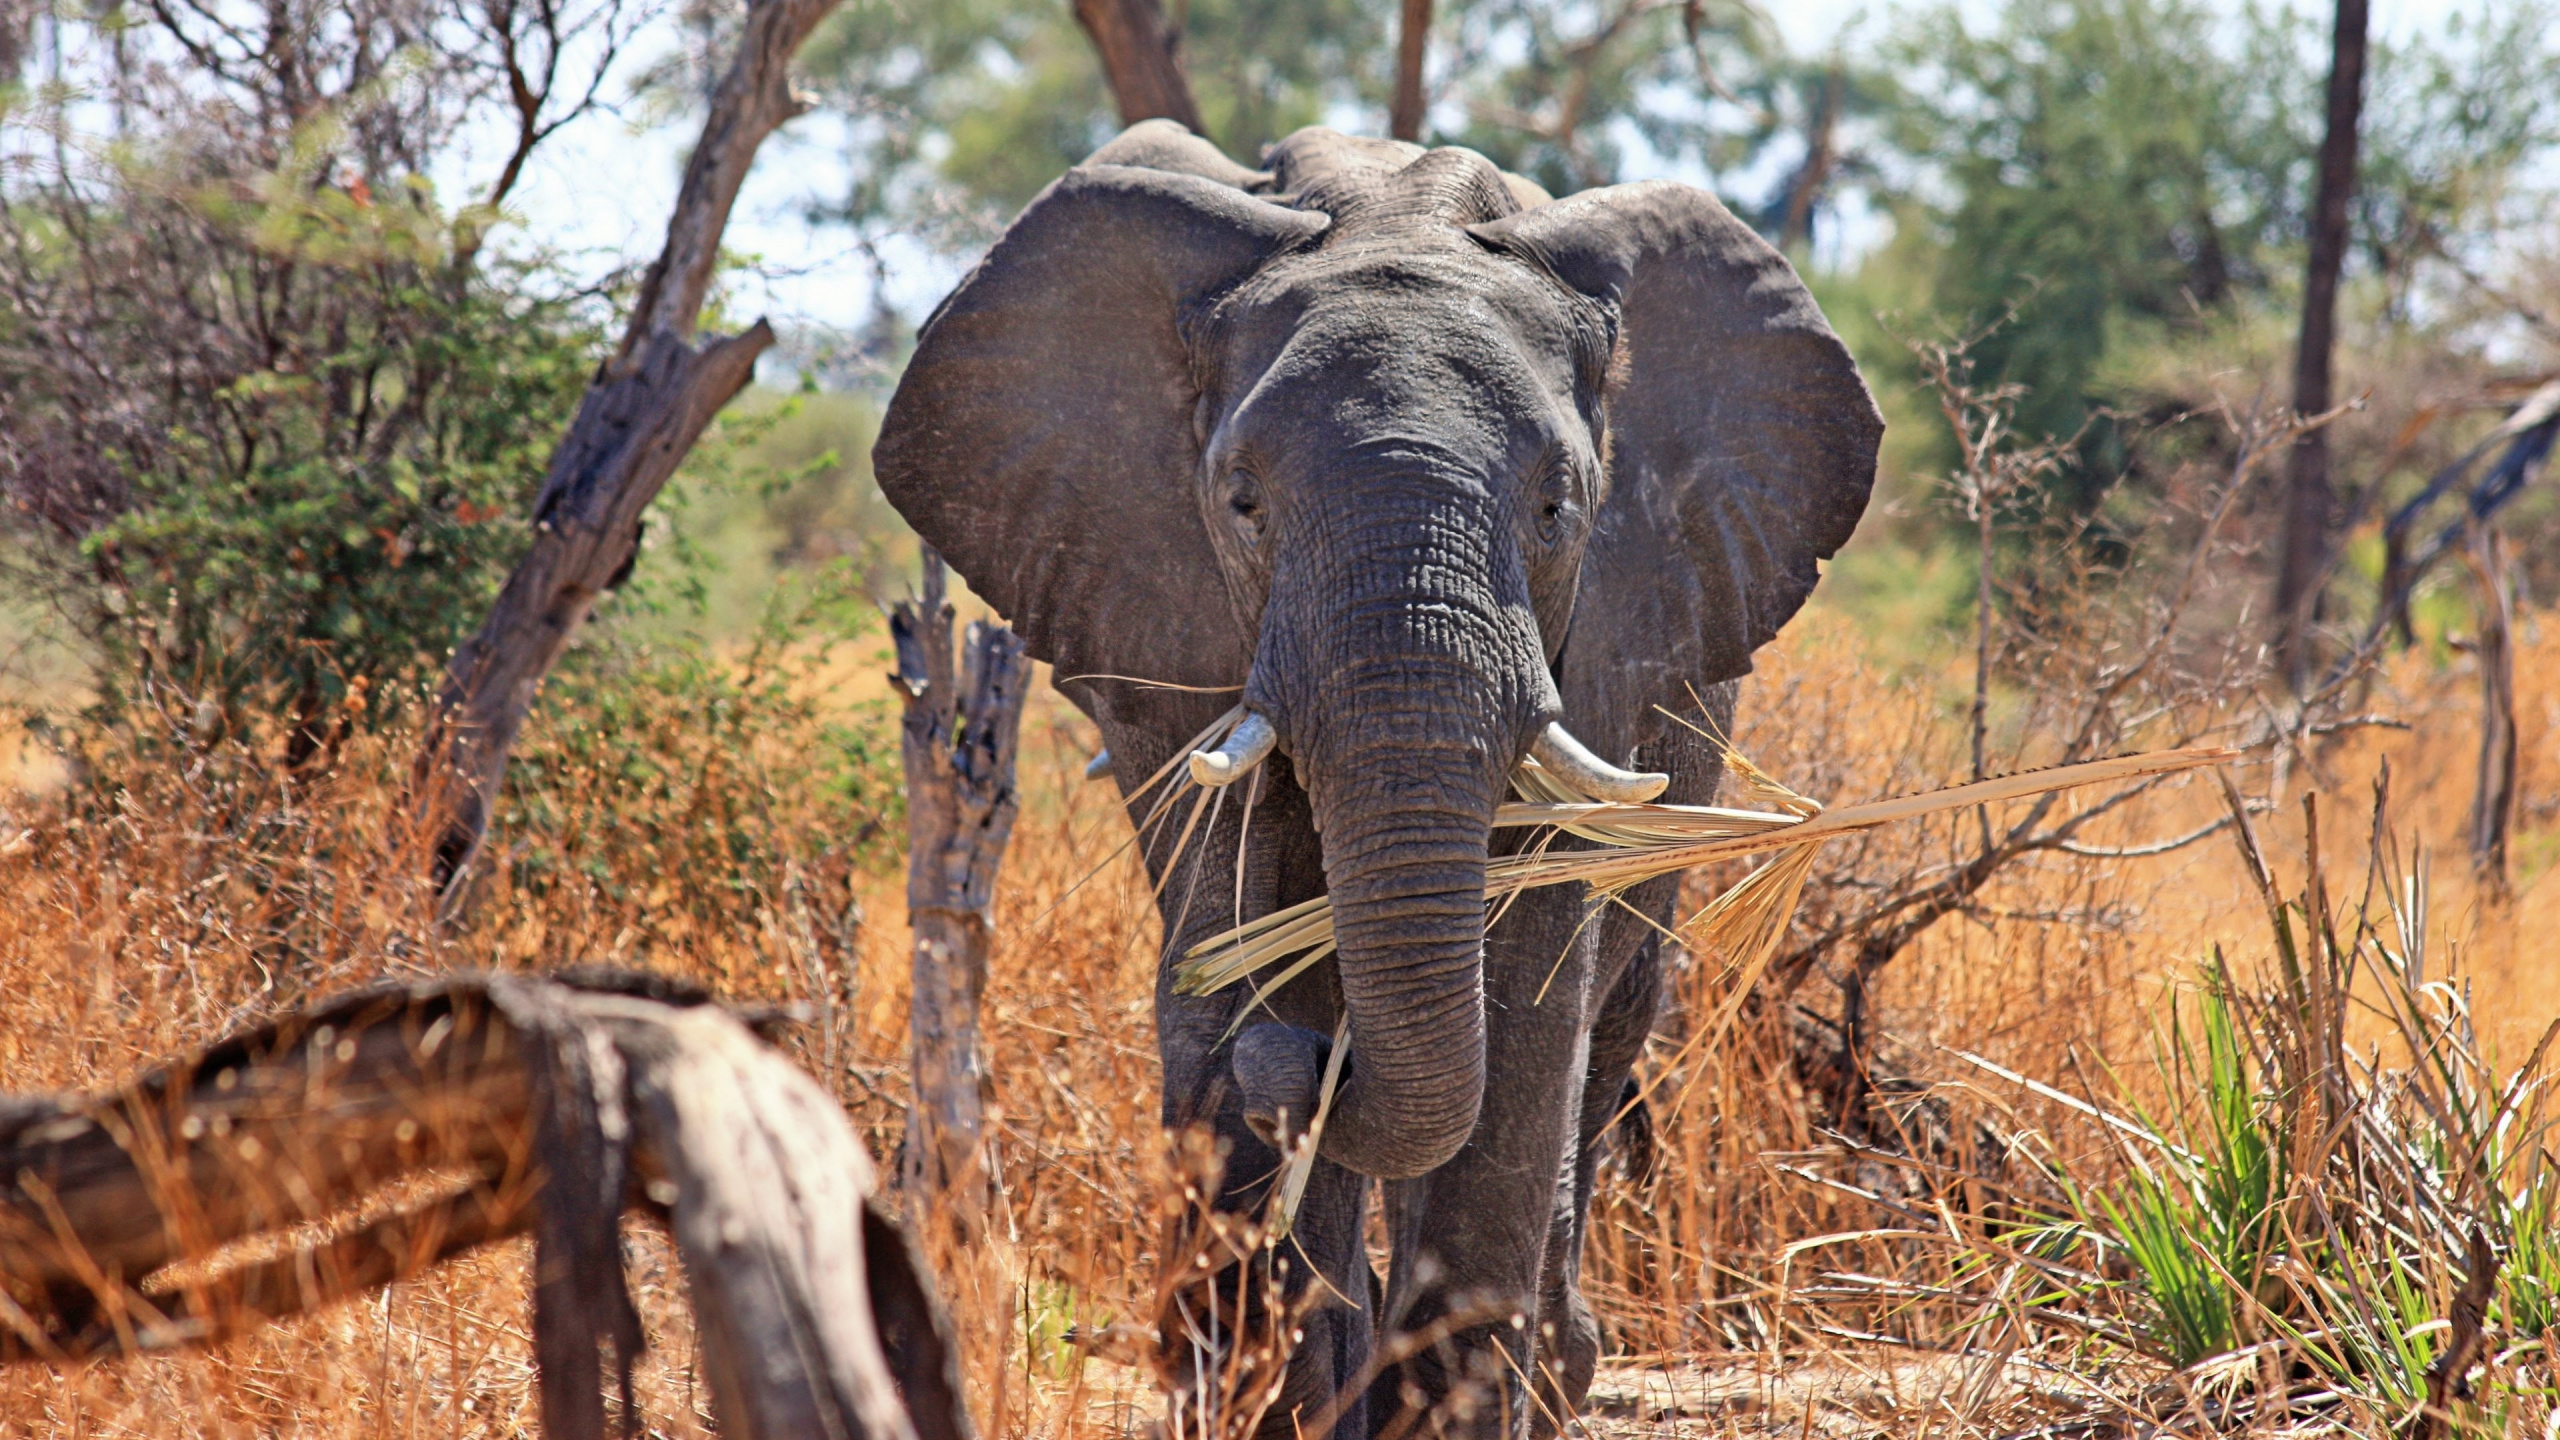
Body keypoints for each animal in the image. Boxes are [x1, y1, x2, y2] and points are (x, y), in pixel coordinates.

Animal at [880, 126, 1884, 1434]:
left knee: (1606, 1025)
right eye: (1241, 503)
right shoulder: (1171, 624)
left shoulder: (1604, 638)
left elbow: (1522, 1001)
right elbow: (1231, 936)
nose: (1310, 1067)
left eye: (1556, 506)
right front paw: (1277, 1386)